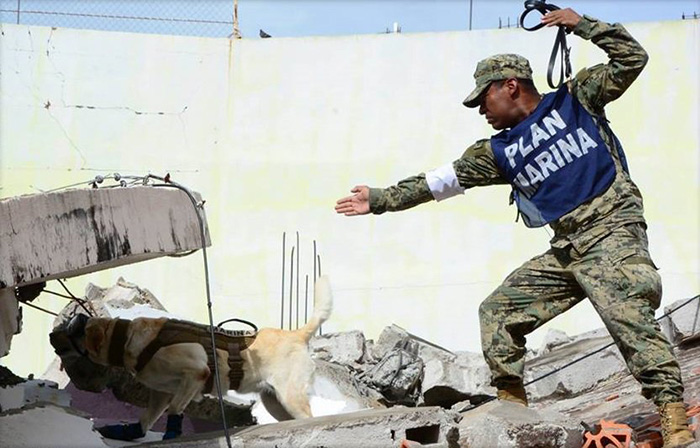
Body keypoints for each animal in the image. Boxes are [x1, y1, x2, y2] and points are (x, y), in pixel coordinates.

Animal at [67, 274, 334, 440]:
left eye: (84, 325)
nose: (75, 318)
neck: (128, 340)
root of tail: (297, 334)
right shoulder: (160, 393)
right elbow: (146, 418)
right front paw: (130, 432)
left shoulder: (195, 374)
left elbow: (176, 408)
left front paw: (172, 432)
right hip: (274, 401)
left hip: (290, 396)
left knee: (310, 417)